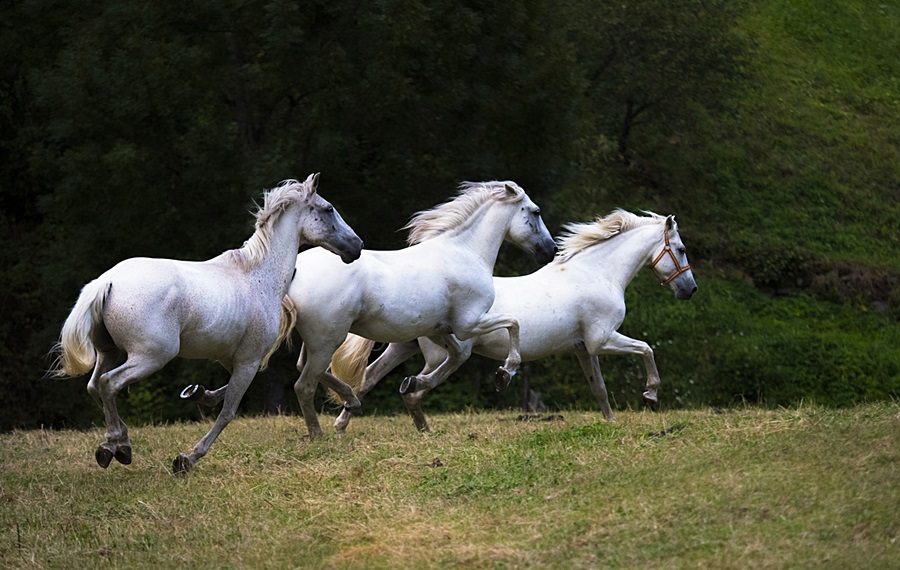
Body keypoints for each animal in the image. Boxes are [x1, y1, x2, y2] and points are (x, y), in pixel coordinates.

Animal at [51, 173, 362, 470]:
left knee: (94, 386)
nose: (356, 246)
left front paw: (198, 395)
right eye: (328, 208)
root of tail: (107, 281)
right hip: (150, 357)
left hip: (110, 352)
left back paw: (118, 445)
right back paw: (115, 447)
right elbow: (227, 411)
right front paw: (187, 459)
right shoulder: (248, 361)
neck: (258, 277)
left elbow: (223, 397)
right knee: (108, 384)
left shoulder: (231, 358)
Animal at [288, 182, 556, 434]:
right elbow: (513, 323)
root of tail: (295, 271)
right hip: (327, 340)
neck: (464, 252)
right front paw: (505, 374)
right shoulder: (469, 324)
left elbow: (459, 355)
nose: (551, 250)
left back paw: (350, 410)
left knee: (312, 369)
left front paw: (415, 384)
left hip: (320, 340)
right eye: (536, 212)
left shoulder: (438, 330)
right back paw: (318, 433)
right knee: (304, 384)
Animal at [330, 209, 696, 430]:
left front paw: (611, 424)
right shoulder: (602, 339)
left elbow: (600, 390)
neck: (598, 273)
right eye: (680, 249)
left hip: (403, 346)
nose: (689, 290)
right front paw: (650, 396)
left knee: (368, 378)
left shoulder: (583, 349)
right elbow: (647, 349)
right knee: (416, 384)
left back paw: (342, 425)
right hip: (438, 354)